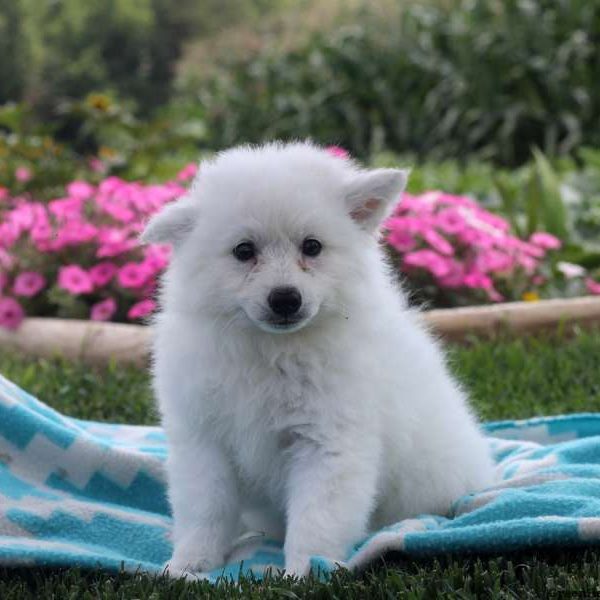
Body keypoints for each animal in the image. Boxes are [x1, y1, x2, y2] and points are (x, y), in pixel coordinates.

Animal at [143, 141, 494, 576]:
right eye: (244, 251)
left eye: (312, 247)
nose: (285, 298)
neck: (271, 351)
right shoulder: (204, 439)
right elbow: (204, 508)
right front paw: (189, 564)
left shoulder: (328, 441)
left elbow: (316, 516)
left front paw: (305, 571)